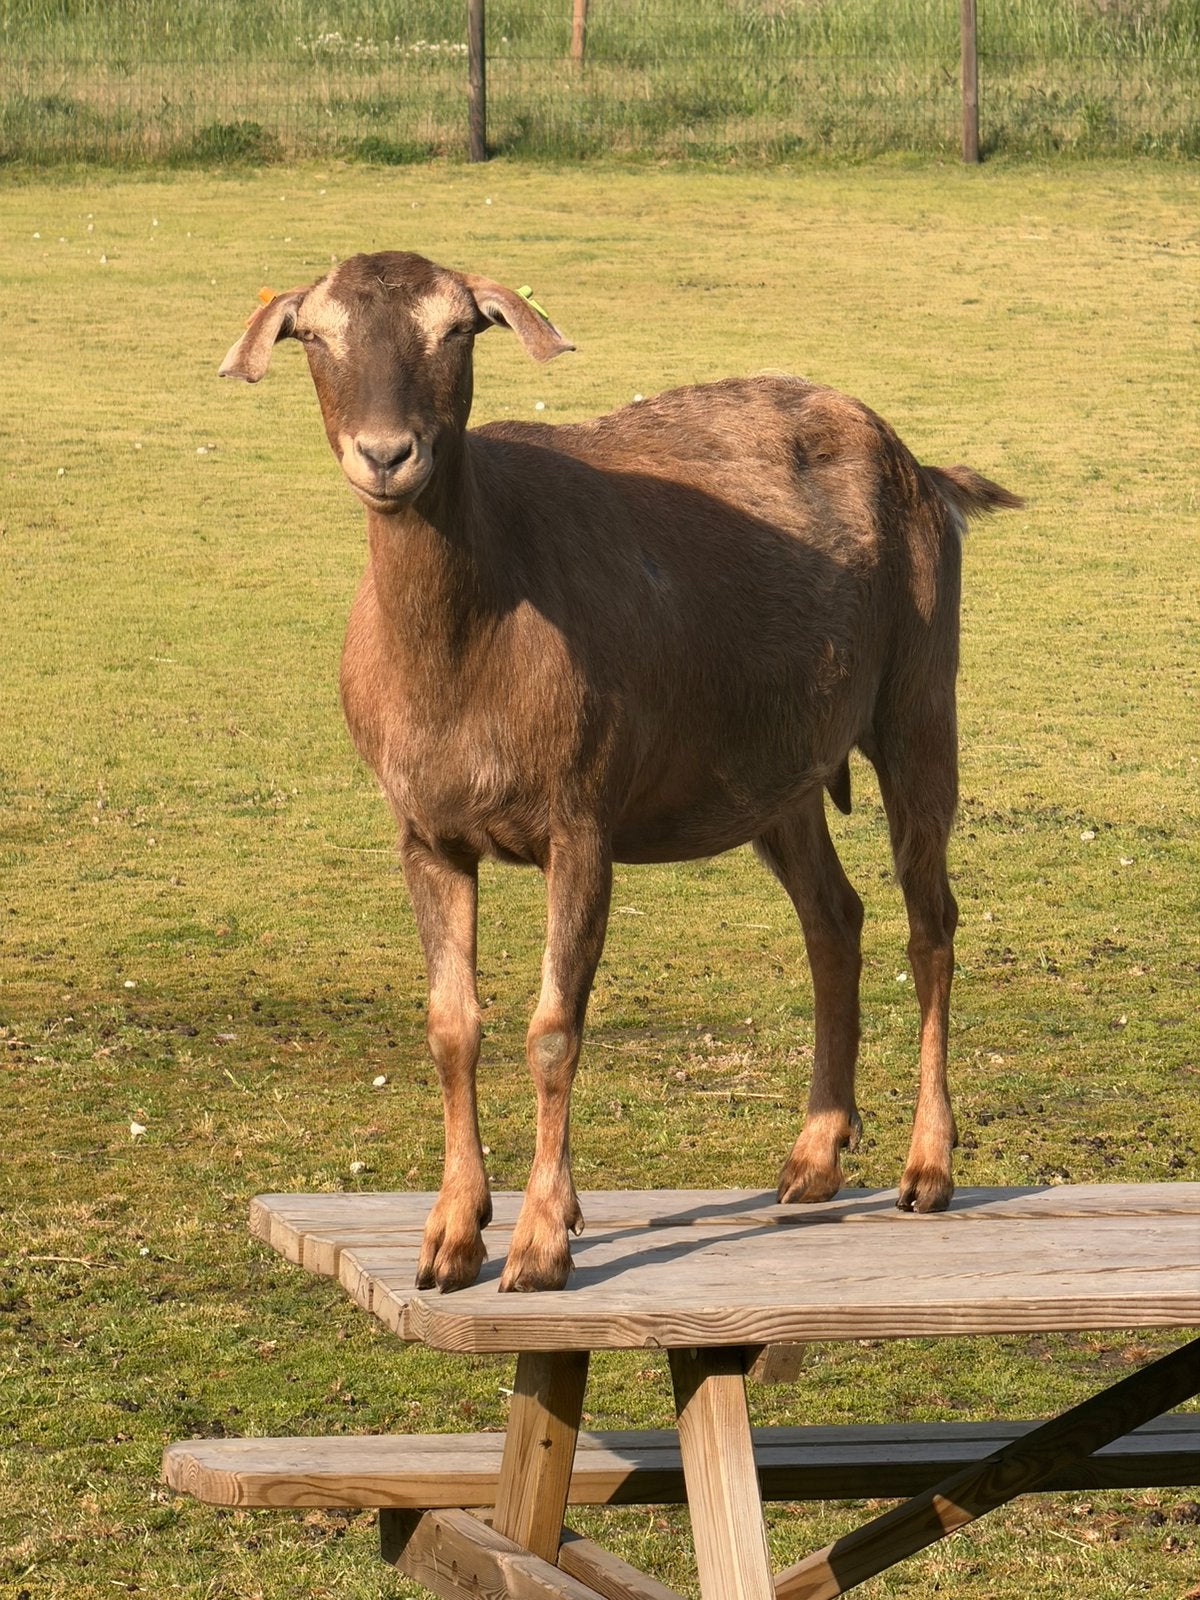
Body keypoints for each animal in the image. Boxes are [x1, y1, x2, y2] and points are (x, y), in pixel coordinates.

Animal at [220, 250, 1021, 1293]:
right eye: (315, 335)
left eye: (455, 329)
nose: (387, 455)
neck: (462, 661)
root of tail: (926, 473)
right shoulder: (425, 829)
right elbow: (451, 1025)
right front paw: (450, 1237)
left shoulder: (582, 814)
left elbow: (553, 1028)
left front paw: (538, 1245)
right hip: (778, 769)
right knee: (834, 917)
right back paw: (812, 1156)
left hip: (920, 698)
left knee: (931, 922)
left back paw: (927, 1168)